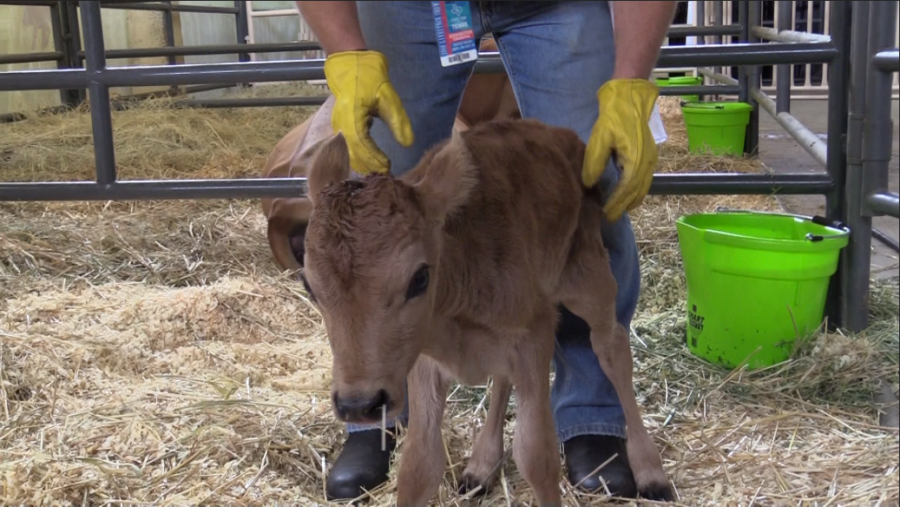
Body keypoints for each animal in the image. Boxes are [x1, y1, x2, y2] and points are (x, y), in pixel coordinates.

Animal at [302, 118, 676, 504]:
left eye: (419, 278)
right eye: (308, 285)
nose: (359, 405)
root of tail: (560, 135)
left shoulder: (534, 335)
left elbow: (536, 455)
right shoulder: (423, 359)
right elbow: (420, 463)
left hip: (590, 276)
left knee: (611, 346)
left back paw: (652, 473)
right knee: (504, 377)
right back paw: (481, 466)